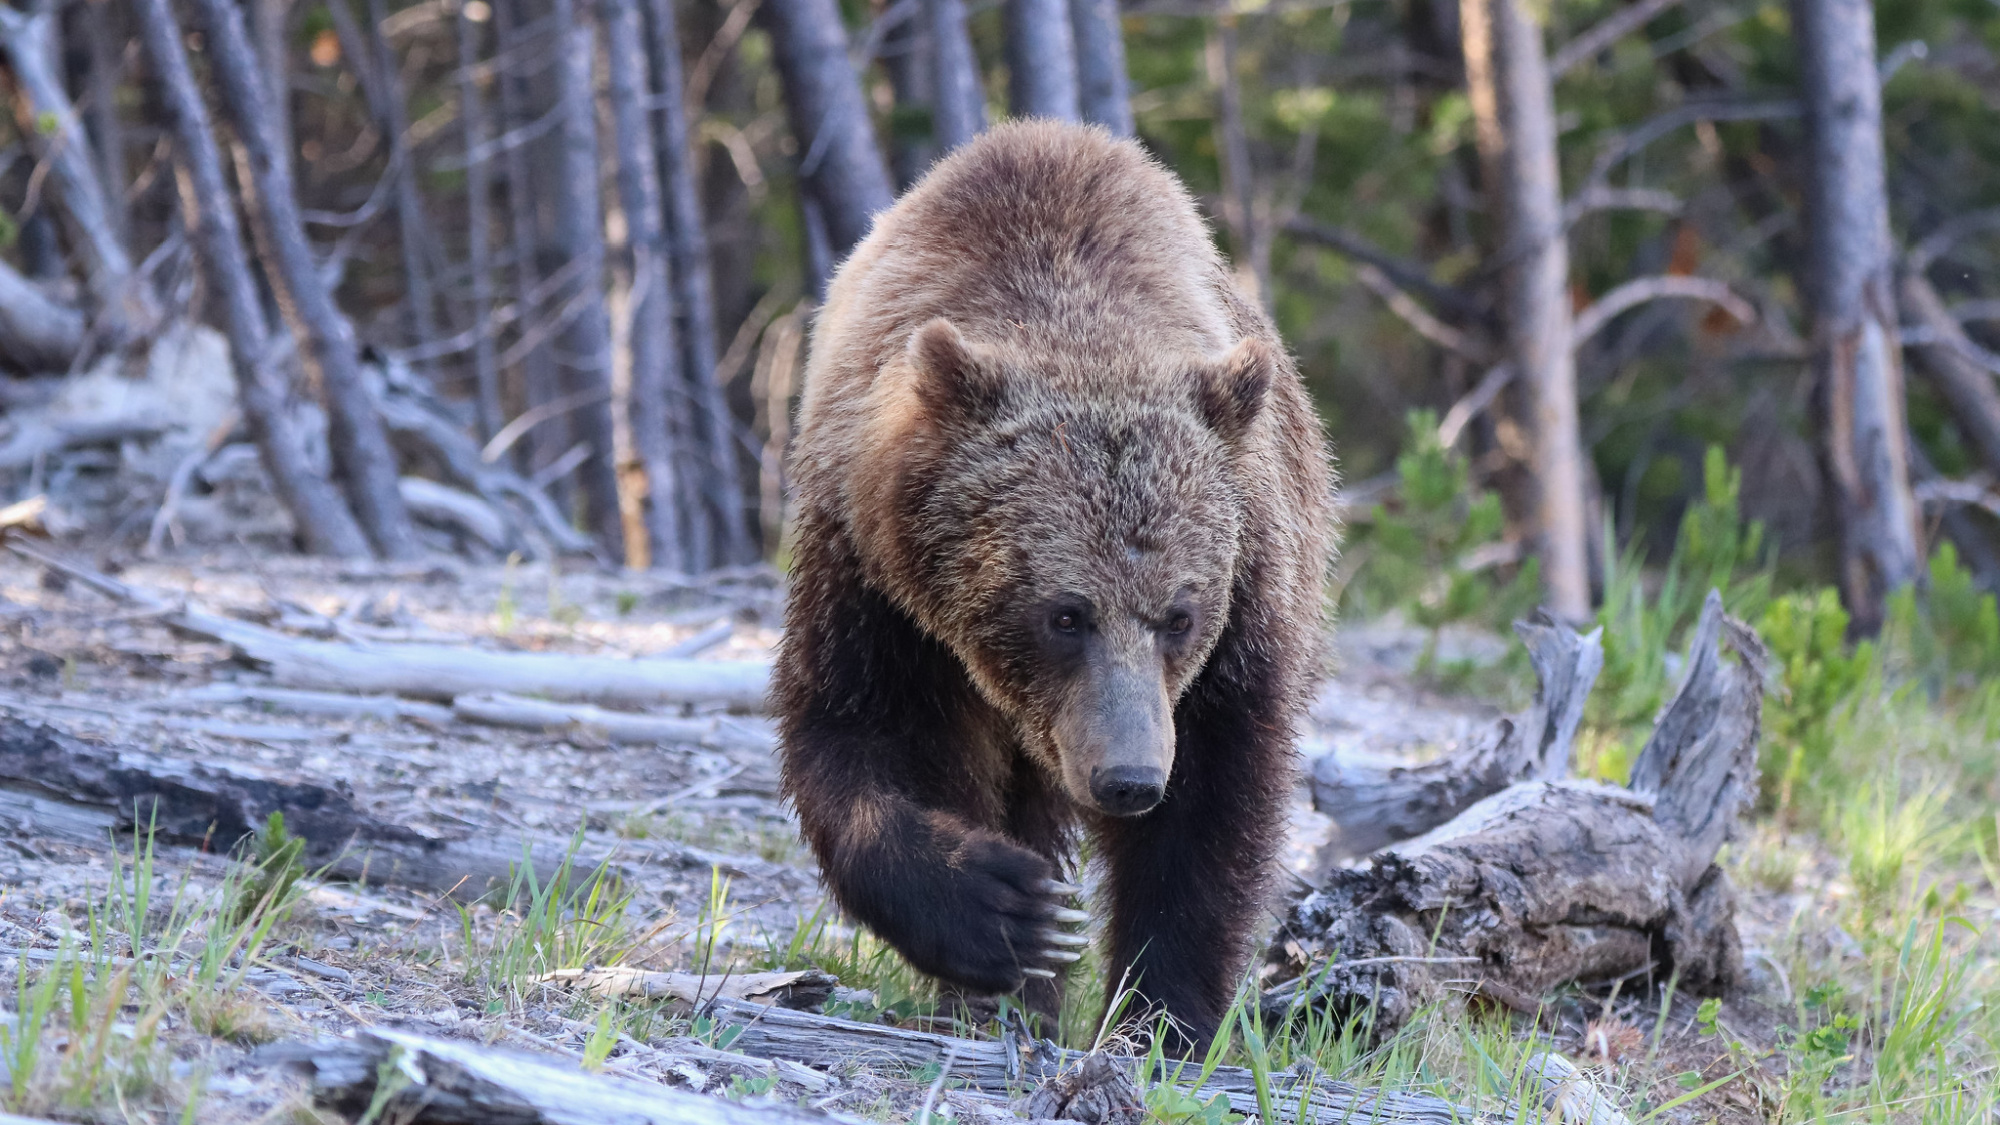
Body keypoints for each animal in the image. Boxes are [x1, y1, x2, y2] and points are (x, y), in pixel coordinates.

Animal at [774, 120, 1335, 1049]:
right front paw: (1007, 913)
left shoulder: (1248, 588)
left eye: (1180, 615)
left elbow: (1213, 801)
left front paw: (1161, 1012)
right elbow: (860, 733)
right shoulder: (872, 578)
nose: (1129, 777)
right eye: (1065, 614)